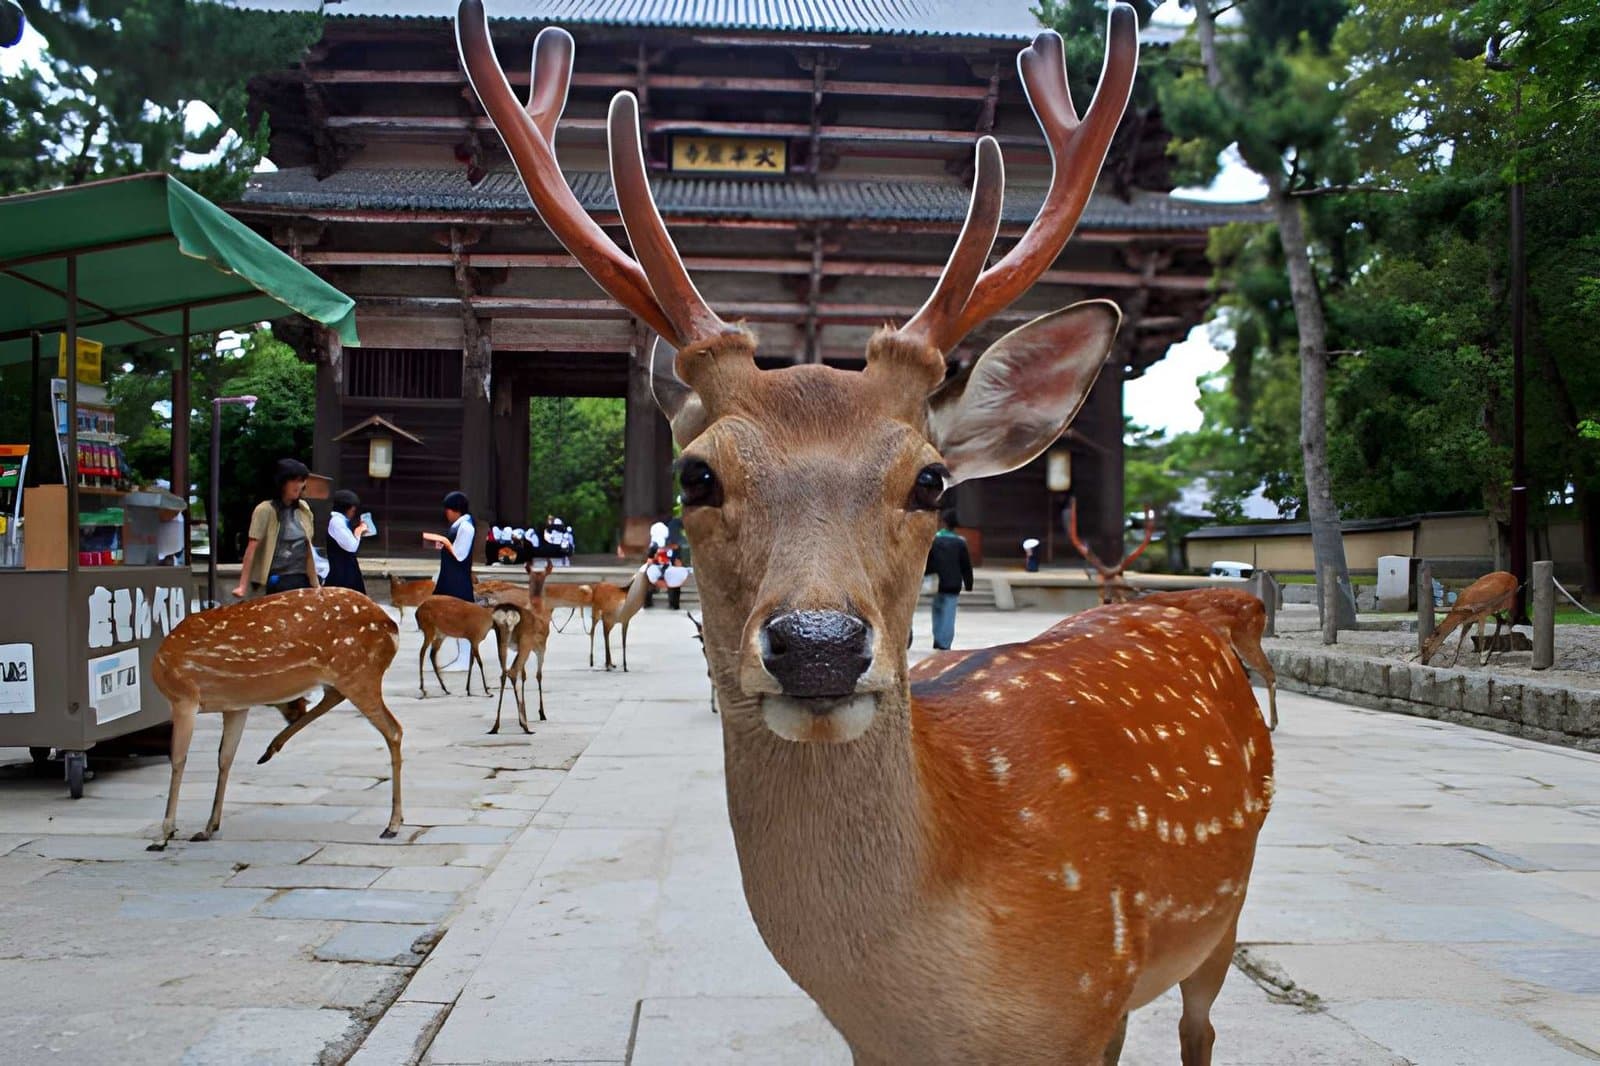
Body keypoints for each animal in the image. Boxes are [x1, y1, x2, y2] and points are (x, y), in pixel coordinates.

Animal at [148, 587, 404, 848]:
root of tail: (392, 627)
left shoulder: (184, 697)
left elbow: (178, 759)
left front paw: (164, 834)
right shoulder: (235, 706)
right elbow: (225, 758)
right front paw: (209, 828)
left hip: (359, 673)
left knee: (394, 729)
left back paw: (392, 824)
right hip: (349, 675)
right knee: (336, 697)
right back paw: (270, 749)